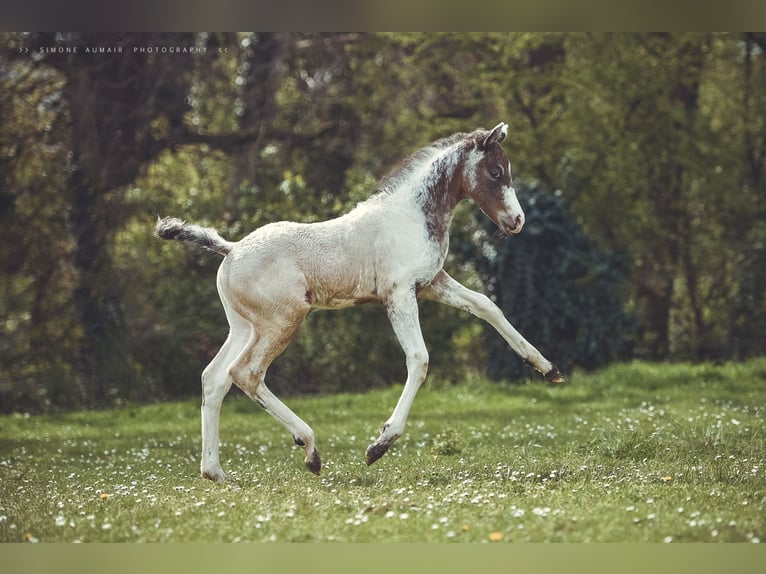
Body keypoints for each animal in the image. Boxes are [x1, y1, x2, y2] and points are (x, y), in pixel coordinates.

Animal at [155, 122, 564, 482]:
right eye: (495, 172)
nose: (517, 220)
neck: (411, 217)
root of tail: (232, 248)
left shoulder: (431, 282)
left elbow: (486, 305)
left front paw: (547, 368)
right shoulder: (399, 293)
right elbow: (419, 359)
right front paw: (379, 445)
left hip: (244, 327)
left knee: (214, 378)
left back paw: (215, 472)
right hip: (283, 320)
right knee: (246, 373)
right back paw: (310, 450)